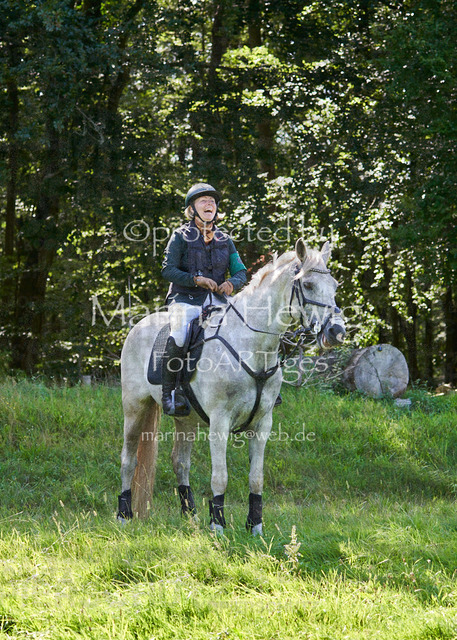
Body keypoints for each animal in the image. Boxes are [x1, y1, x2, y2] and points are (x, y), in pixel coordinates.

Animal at [117, 239, 346, 534]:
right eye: (307, 285)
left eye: (335, 285)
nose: (336, 332)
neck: (251, 345)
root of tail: (138, 327)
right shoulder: (219, 422)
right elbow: (220, 477)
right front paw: (217, 525)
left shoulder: (262, 425)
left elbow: (256, 478)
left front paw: (255, 526)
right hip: (134, 408)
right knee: (128, 459)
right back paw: (124, 514)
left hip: (186, 420)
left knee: (180, 462)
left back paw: (189, 516)